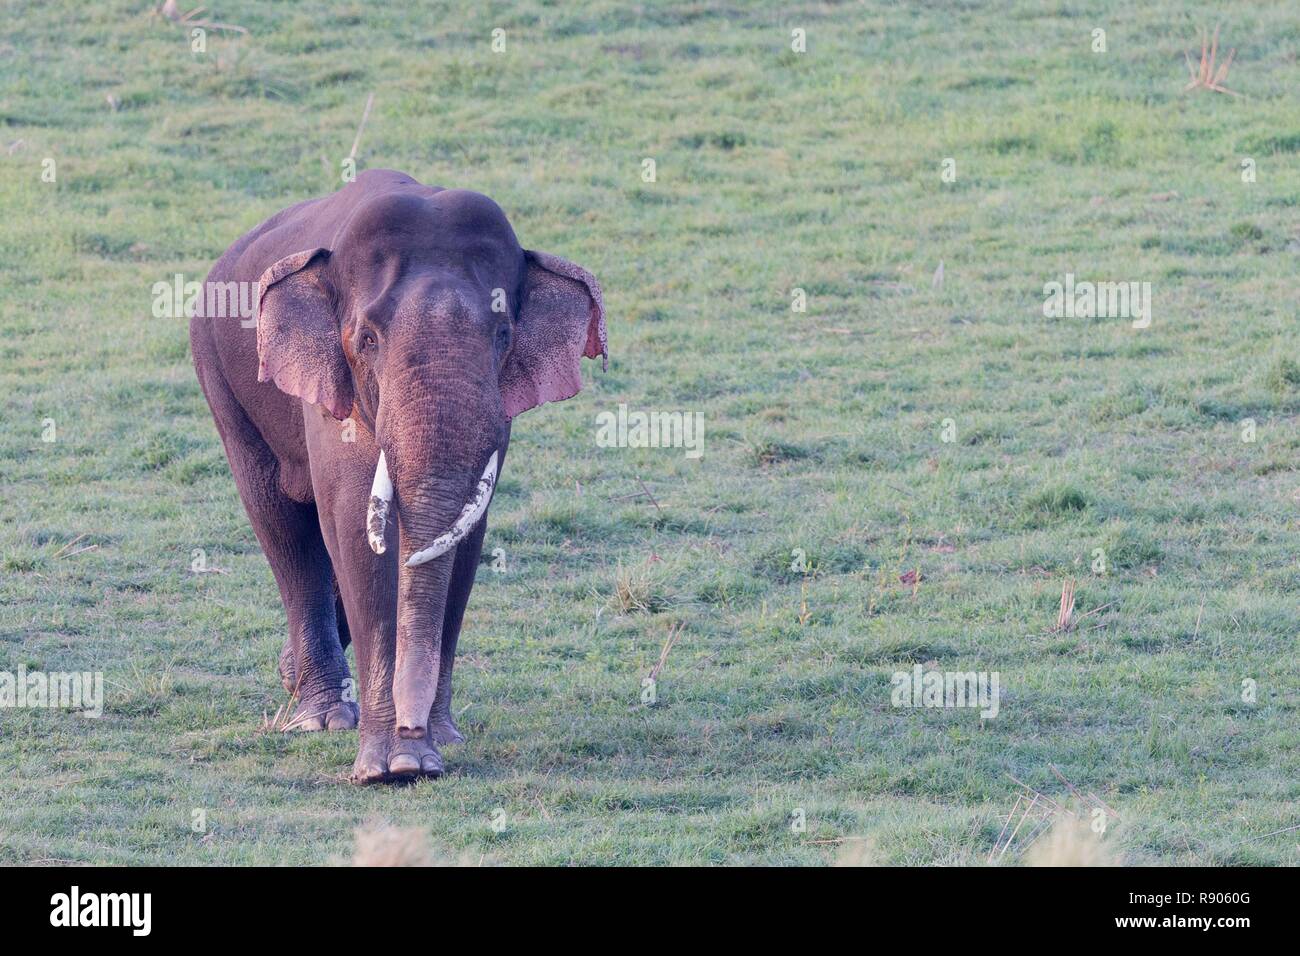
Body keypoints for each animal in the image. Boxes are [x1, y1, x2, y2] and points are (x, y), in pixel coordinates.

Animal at [189, 170, 605, 785]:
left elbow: (464, 536)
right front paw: (388, 766)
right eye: (367, 338)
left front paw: (438, 743)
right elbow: (354, 527)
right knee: (280, 523)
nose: (414, 744)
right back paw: (320, 717)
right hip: (220, 378)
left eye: (503, 335)